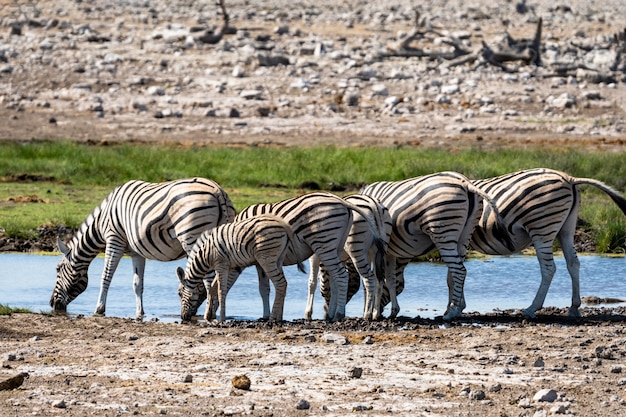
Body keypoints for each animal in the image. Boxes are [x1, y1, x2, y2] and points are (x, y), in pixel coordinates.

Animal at [50, 176, 235, 318]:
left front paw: (99, 309)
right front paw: (140, 313)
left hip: (193, 238)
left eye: (58, 269)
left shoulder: (114, 240)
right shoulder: (136, 252)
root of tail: (217, 191)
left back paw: (209, 314)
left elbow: (106, 276)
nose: (52, 303)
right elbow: (137, 283)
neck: (101, 223)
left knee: (210, 279)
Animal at [358, 171, 510, 320]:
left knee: (459, 271)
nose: (377, 311)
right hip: (464, 236)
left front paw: (372, 312)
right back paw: (454, 307)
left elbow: (375, 280)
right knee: (453, 273)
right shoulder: (389, 253)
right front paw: (391, 311)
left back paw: (452, 312)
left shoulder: (376, 250)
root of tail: (465, 182)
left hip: (443, 229)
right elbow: (390, 279)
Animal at [468, 167, 624, 316]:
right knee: (573, 263)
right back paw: (574, 307)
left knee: (549, 268)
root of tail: (569, 178)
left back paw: (532, 308)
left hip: (542, 228)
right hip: (566, 228)